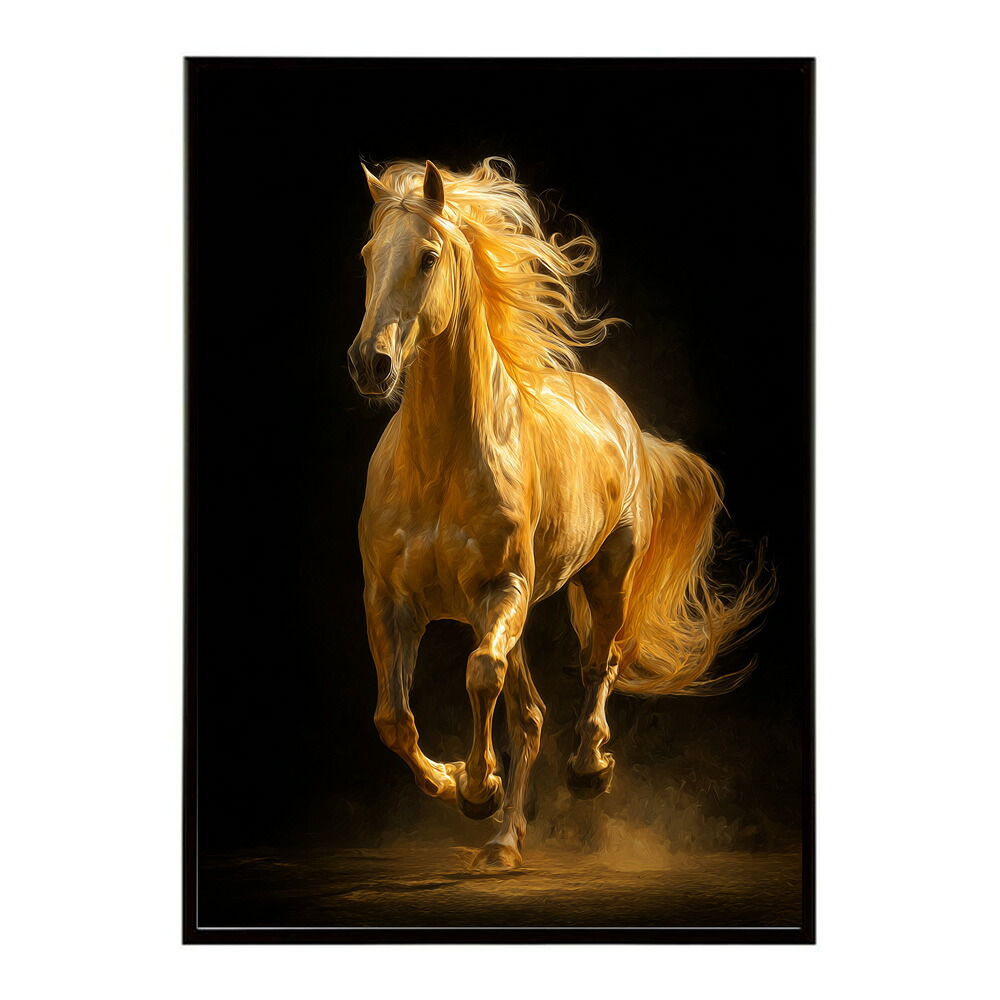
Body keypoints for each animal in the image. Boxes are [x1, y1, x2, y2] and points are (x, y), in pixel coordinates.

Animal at [347, 157, 773, 869]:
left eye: (428, 256)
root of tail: (619, 415)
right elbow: (393, 720)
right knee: (530, 714)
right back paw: (502, 842)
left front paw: (478, 786)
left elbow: (480, 676)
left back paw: (586, 771)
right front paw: (462, 786)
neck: (437, 465)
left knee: (600, 664)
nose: (369, 364)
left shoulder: (503, 588)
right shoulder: (390, 600)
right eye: (368, 255)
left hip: (604, 579)